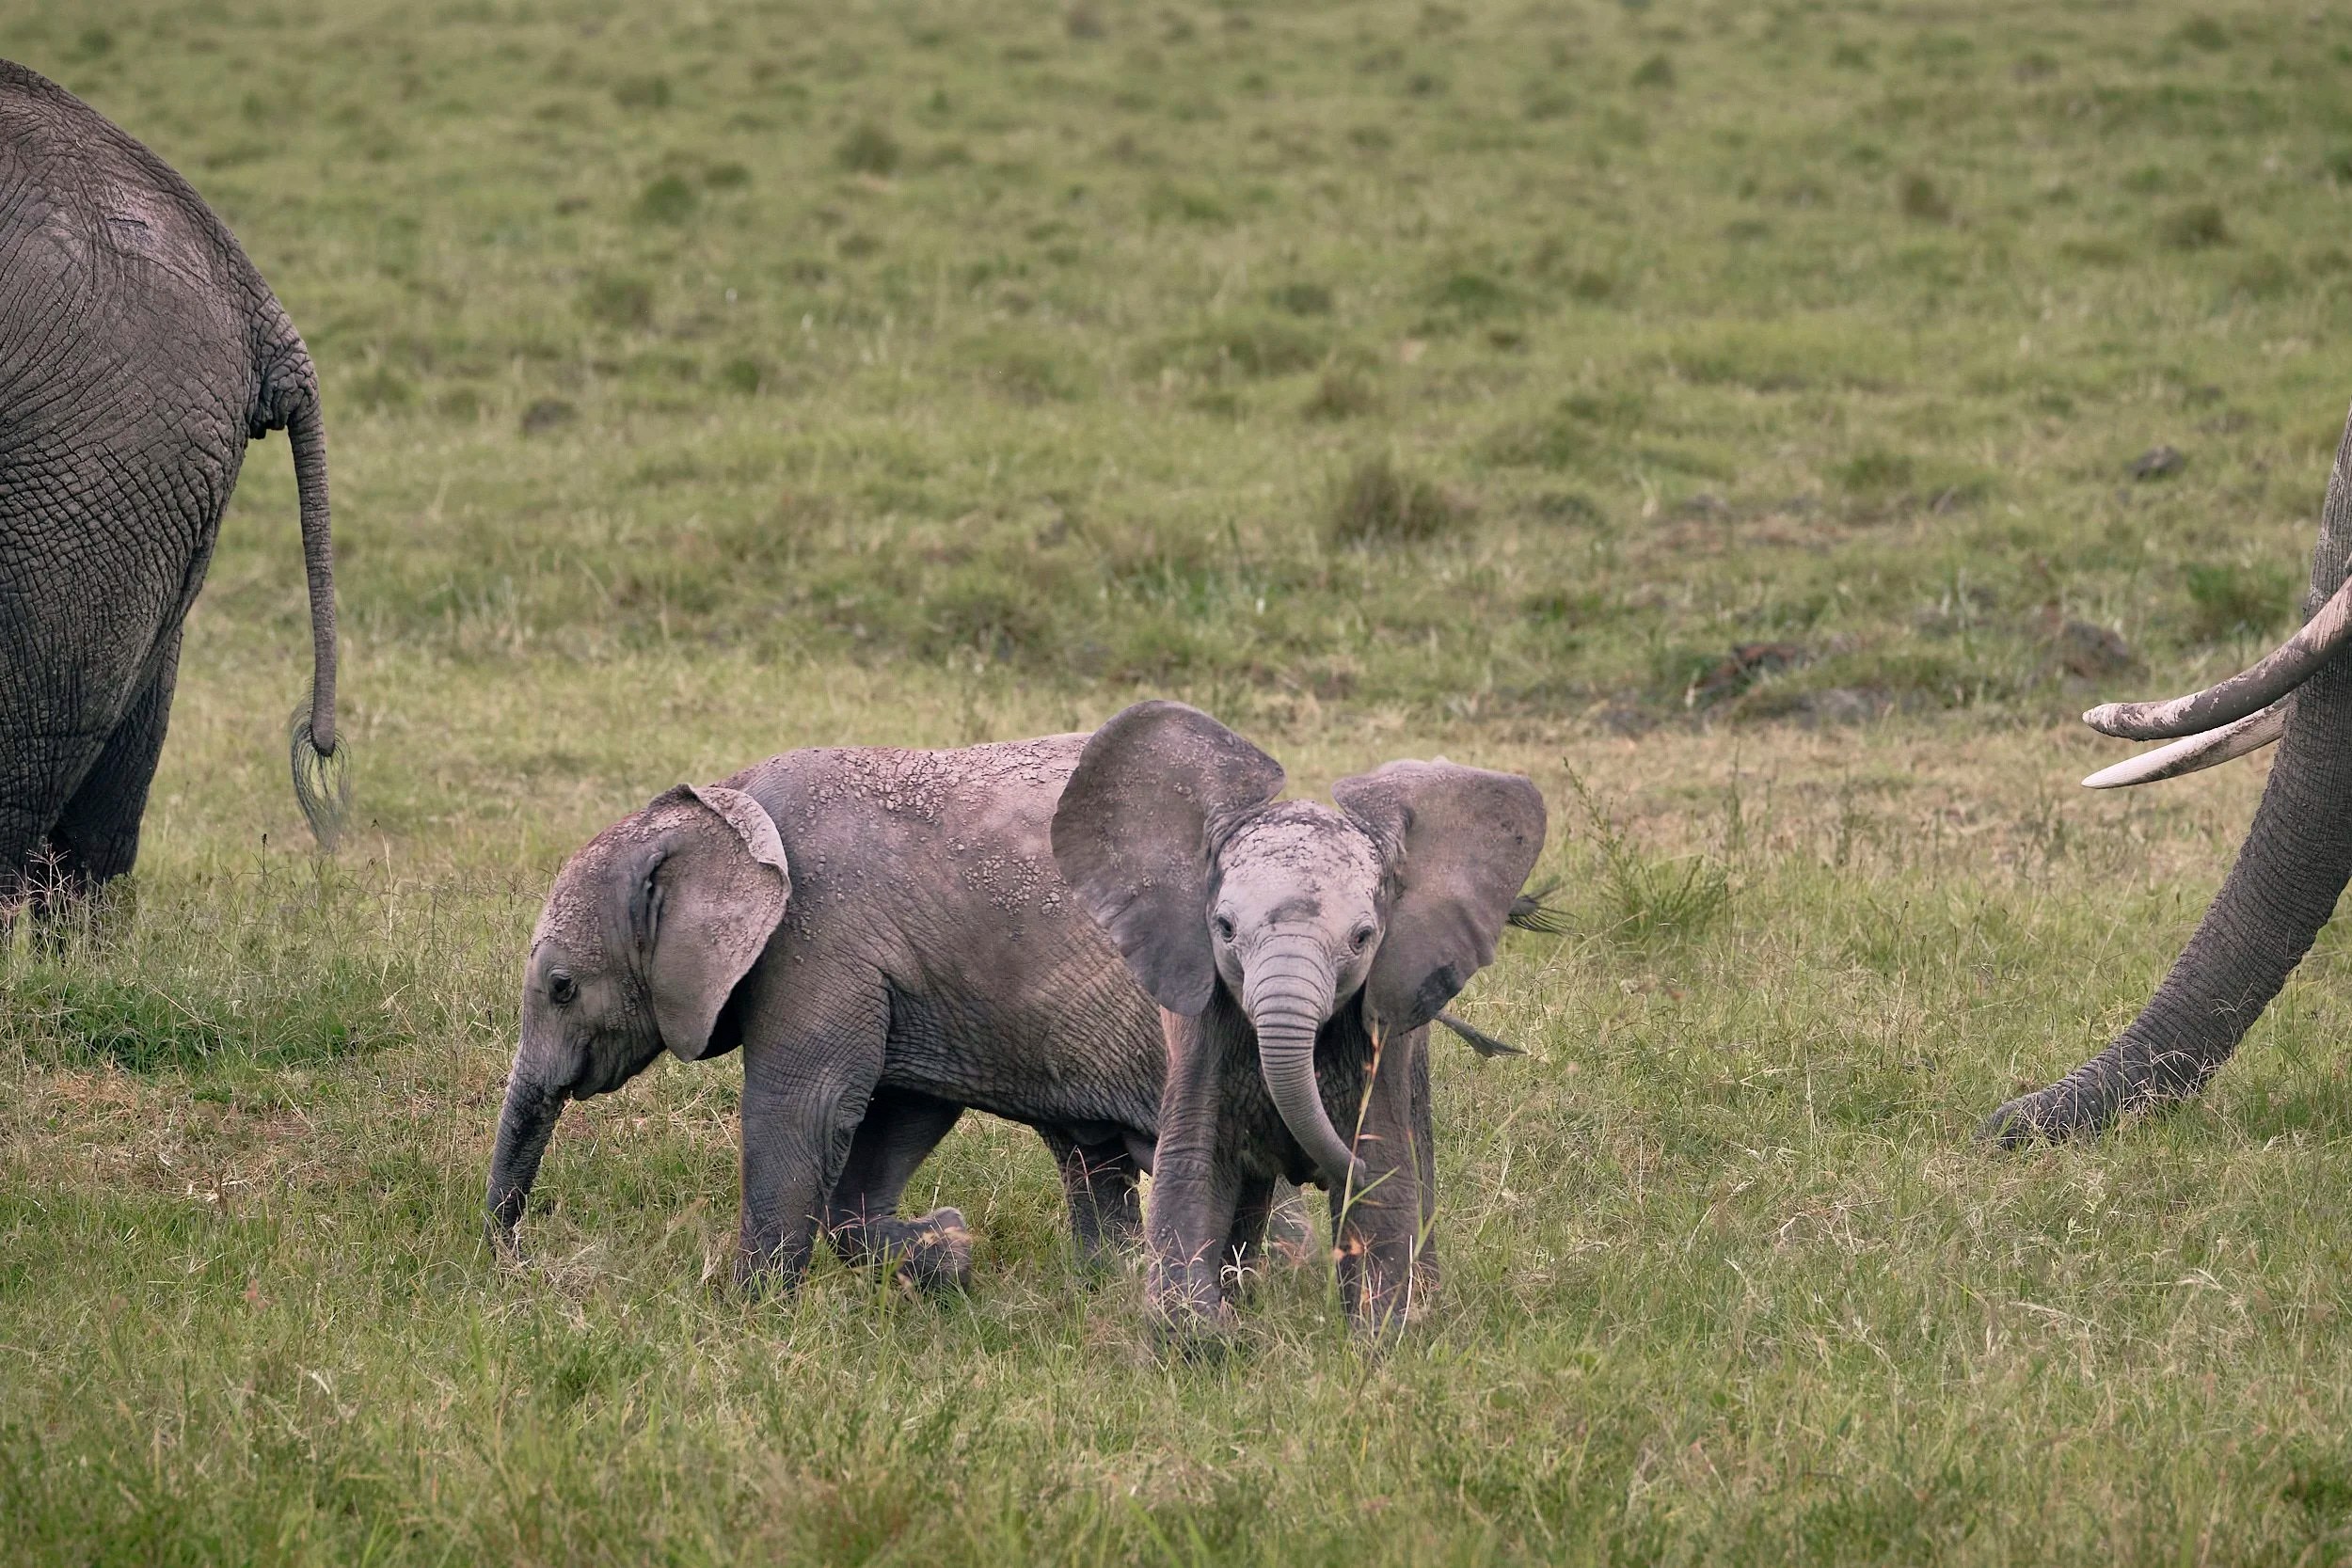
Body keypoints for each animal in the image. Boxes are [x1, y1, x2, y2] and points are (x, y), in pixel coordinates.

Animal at [1051, 701, 1547, 1335]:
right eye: (1224, 928)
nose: (1319, 1169)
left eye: (1362, 938)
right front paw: (1198, 1337)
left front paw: (1386, 1339)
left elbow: (1385, 1165)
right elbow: (1193, 1164)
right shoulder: (1199, 1017)